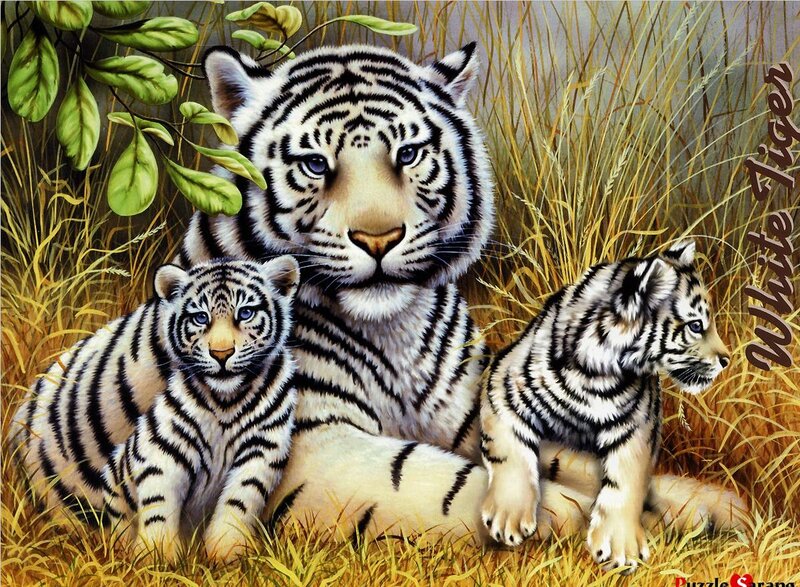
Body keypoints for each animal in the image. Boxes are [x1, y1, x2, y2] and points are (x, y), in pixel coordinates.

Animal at [102, 256, 299, 563]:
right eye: (201, 318)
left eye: (245, 313)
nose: (221, 354)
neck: (226, 399)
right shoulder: (162, 449)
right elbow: (158, 505)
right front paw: (156, 555)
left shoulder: (262, 446)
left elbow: (240, 498)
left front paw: (228, 551)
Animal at [480, 240, 731, 572]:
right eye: (696, 325)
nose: (726, 360)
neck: (597, 373)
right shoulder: (503, 384)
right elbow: (510, 450)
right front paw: (508, 517)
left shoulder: (638, 425)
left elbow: (626, 481)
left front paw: (620, 547)